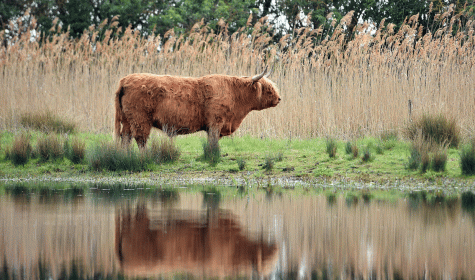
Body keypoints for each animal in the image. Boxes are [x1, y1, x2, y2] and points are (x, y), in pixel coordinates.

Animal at [114, 67, 280, 148]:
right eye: (268, 88)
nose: (279, 98)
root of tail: (124, 80)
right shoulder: (216, 122)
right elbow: (213, 141)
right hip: (140, 119)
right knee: (140, 139)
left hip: (127, 120)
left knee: (125, 138)